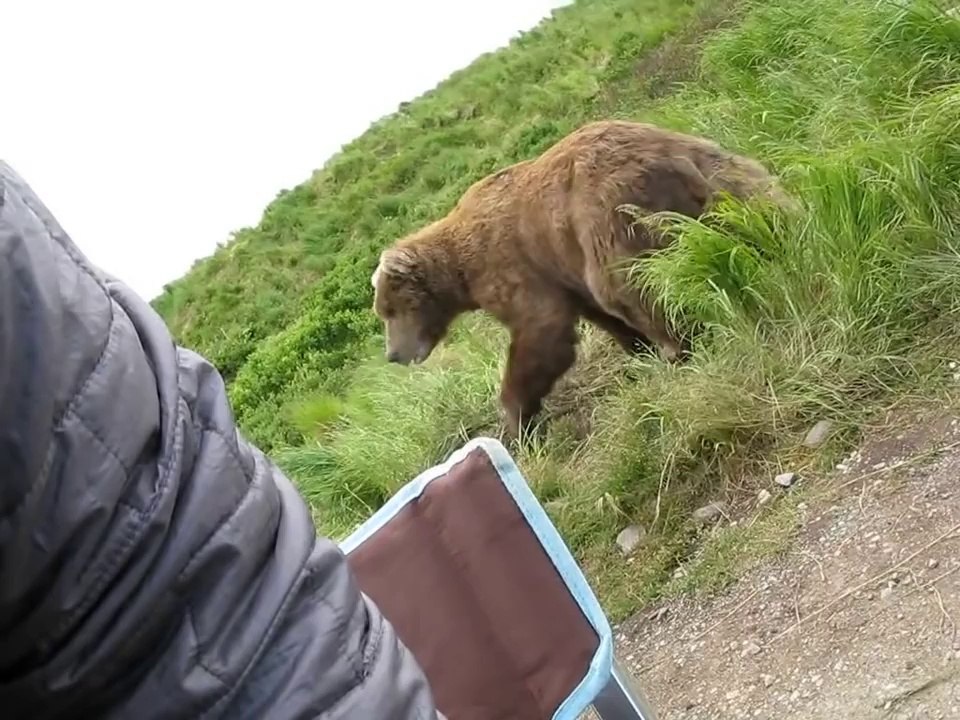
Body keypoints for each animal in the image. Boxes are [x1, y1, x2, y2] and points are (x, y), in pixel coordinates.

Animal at [371, 119, 792, 437]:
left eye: (390, 310)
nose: (393, 354)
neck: (460, 270)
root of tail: (669, 157)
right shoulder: (563, 271)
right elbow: (596, 315)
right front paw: (636, 351)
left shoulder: (513, 266)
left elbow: (541, 330)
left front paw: (513, 417)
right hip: (719, 171)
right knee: (763, 207)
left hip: (610, 213)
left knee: (629, 285)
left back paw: (677, 347)